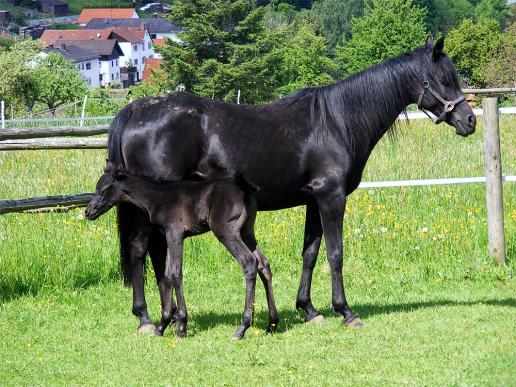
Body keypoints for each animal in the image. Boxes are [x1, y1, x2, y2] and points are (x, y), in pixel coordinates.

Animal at [84, 164, 278, 340]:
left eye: (104, 189)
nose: (88, 211)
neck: (157, 197)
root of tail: (243, 189)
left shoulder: (174, 232)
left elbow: (175, 273)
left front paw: (181, 327)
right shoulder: (171, 236)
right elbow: (167, 274)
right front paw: (163, 325)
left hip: (227, 232)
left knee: (249, 262)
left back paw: (242, 328)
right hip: (247, 232)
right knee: (263, 264)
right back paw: (272, 324)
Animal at [108, 36, 476, 328]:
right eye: (444, 79)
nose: (469, 120)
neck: (337, 121)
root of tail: (133, 110)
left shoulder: (314, 200)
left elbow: (310, 253)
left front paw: (309, 309)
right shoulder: (331, 197)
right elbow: (335, 253)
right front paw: (346, 312)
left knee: (147, 253)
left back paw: (159, 316)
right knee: (143, 251)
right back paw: (150, 319)